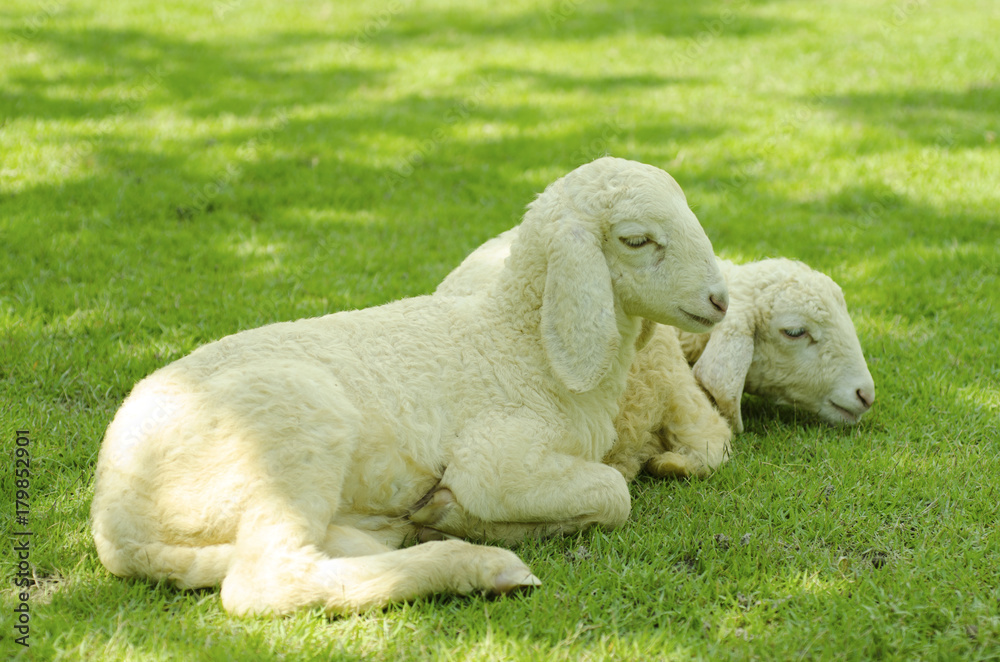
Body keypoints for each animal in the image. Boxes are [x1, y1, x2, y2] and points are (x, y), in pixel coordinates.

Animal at [91, 157, 730, 617]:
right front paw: (458, 512)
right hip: (292, 425)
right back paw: (475, 565)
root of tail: (115, 517)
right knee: (266, 583)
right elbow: (613, 493)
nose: (720, 300)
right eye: (637, 240)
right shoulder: (496, 460)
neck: (523, 344)